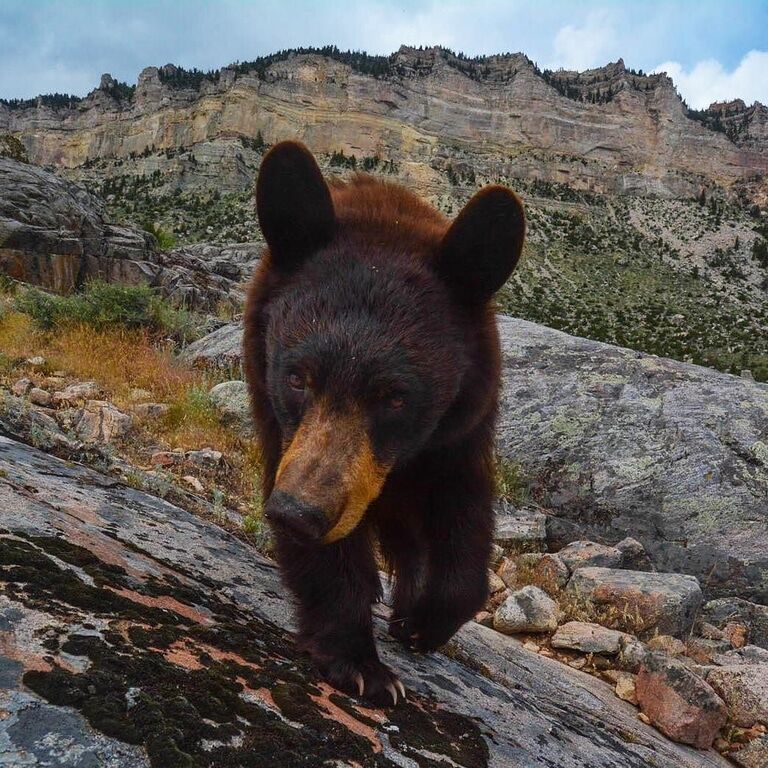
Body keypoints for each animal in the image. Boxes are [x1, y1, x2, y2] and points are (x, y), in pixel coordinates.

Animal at [243, 141, 524, 704]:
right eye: (297, 377)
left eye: (395, 397)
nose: (298, 514)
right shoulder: (281, 424)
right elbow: (331, 554)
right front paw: (359, 662)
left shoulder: (461, 426)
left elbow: (463, 509)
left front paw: (424, 620)